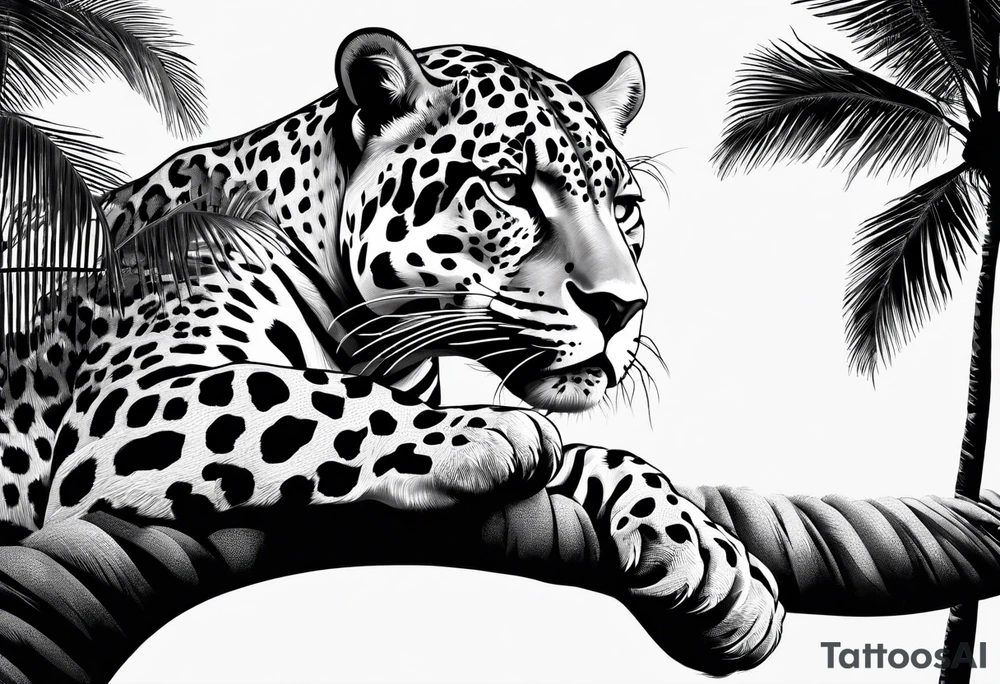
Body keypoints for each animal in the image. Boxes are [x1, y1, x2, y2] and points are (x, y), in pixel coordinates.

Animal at [0, 28, 782, 675]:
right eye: (508, 188)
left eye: (623, 207)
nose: (623, 308)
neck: (378, 344)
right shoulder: (133, 398)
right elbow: (307, 393)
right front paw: (486, 428)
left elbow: (589, 456)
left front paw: (710, 554)